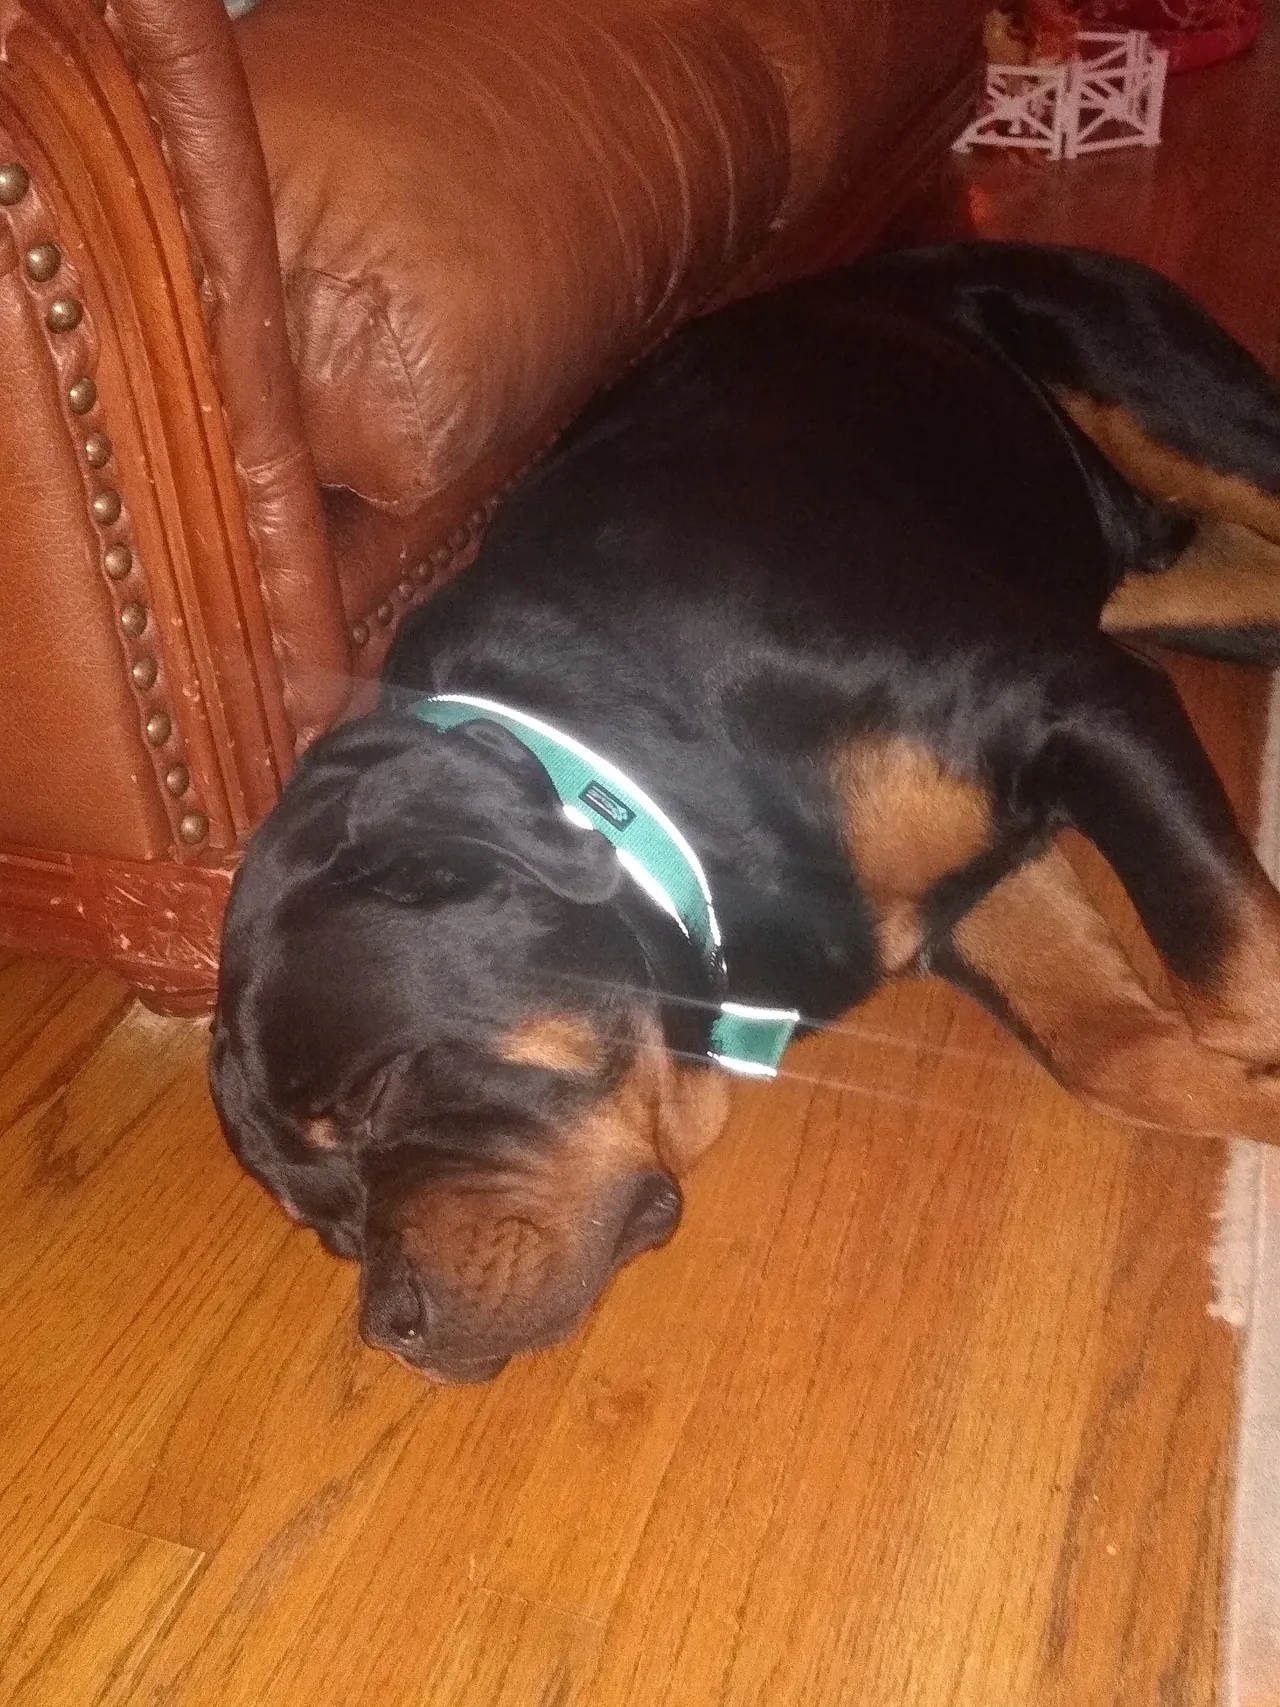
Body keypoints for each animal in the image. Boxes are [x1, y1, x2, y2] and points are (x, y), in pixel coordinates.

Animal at [211, 242, 1280, 1384]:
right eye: (323, 1221)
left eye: (374, 1096)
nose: (392, 1328)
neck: (649, 775)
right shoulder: (968, 884)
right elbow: (1119, 1052)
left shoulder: (1083, 703)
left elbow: (1235, 986)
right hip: (1167, 589)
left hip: (1160, 404)